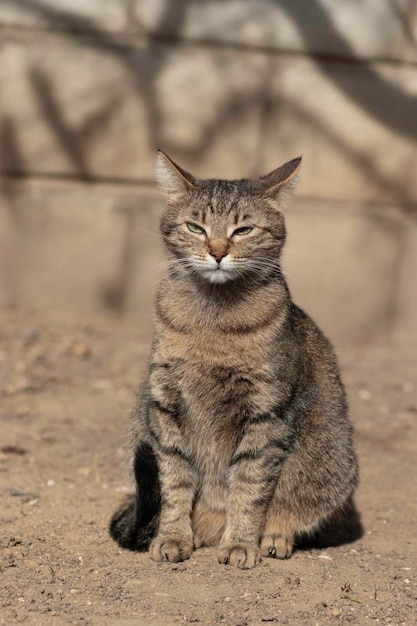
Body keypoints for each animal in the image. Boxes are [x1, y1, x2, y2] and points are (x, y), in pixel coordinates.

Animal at [109, 150, 358, 564]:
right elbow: (173, 480)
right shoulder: (165, 403)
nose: (218, 252)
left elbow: (249, 484)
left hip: (334, 467)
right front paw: (173, 536)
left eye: (243, 230)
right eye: (195, 227)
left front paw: (241, 541)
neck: (214, 320)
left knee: (288, 511)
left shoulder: (267, 412)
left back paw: (272, 537)